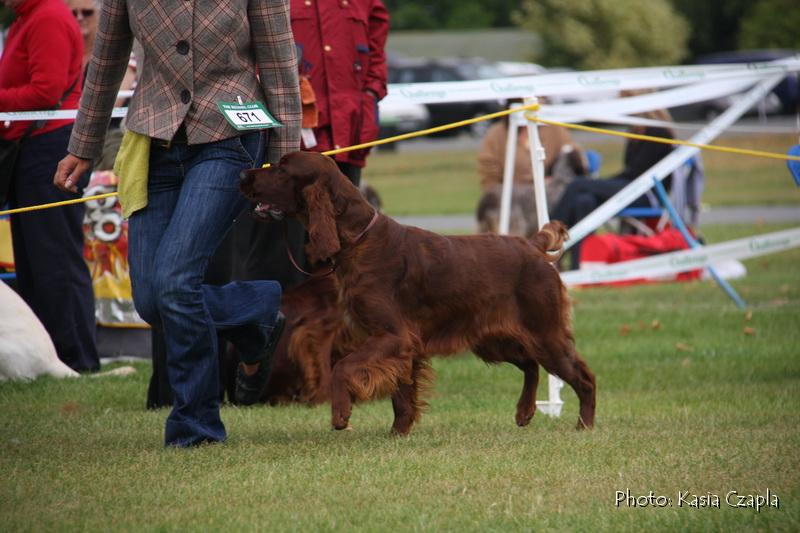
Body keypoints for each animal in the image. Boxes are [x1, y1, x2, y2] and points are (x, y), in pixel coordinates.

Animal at [239, 152, 592, 434]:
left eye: (282, 168)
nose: (243, 175)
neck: (359, 240)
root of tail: (532, 245)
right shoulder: (402, 344)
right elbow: (401, 394)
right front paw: (399, 432)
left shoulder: (393, 336)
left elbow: (343, 368)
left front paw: (341, 414)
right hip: (493, 340)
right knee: (531, 365)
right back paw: (524, 412)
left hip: (545, 335)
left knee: (582, 376)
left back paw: (584, 425)